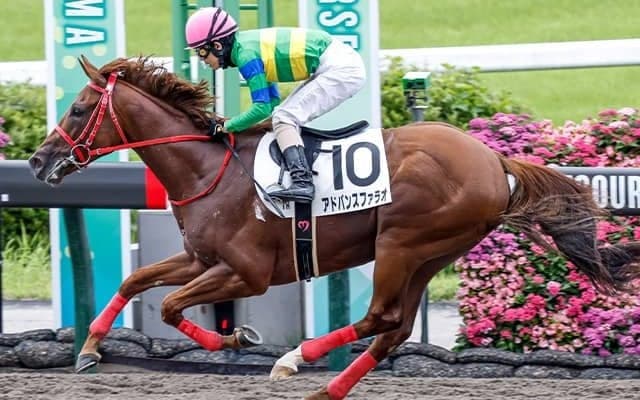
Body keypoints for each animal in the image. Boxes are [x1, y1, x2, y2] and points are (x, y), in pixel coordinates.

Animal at [29, 56, 640, 400]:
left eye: (79, 108)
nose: (38, 161)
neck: (208, 169)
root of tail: (494, 161)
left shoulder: (247, 273)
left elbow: (172, 306)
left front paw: (238, 337)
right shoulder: (202, 259)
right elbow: (138, 283)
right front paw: (89, 348)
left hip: (402, 242)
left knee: (381, 317)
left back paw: (294, 360)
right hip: (431, 254)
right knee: (394, 328)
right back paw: (325, 390)